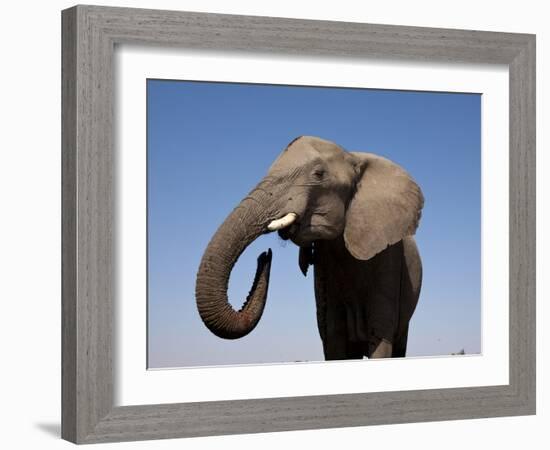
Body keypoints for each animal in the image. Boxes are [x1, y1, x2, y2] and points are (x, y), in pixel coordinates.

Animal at [196, 135, 424, 360]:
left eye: (319, 174)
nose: (265, 256)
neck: (353, 157)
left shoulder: (390, 259)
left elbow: (380, 337)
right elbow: (335, 337)